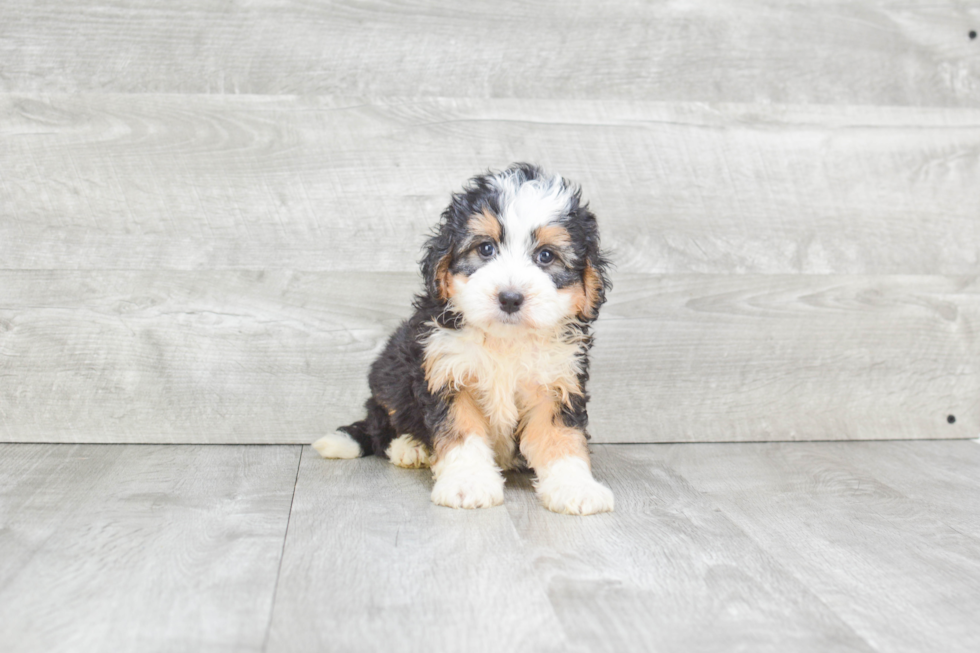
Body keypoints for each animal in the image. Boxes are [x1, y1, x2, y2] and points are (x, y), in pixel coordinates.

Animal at [314, 163, 612, 516]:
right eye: (485, 248)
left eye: (546, 256)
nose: (510, 298)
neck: (505, 341)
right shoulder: (448, 374)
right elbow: (461, 433)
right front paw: (467, 484)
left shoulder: (557, 384)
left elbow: (561, 437)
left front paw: (575, 487)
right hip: (390, 374)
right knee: (381, 421)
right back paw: (408, 447)